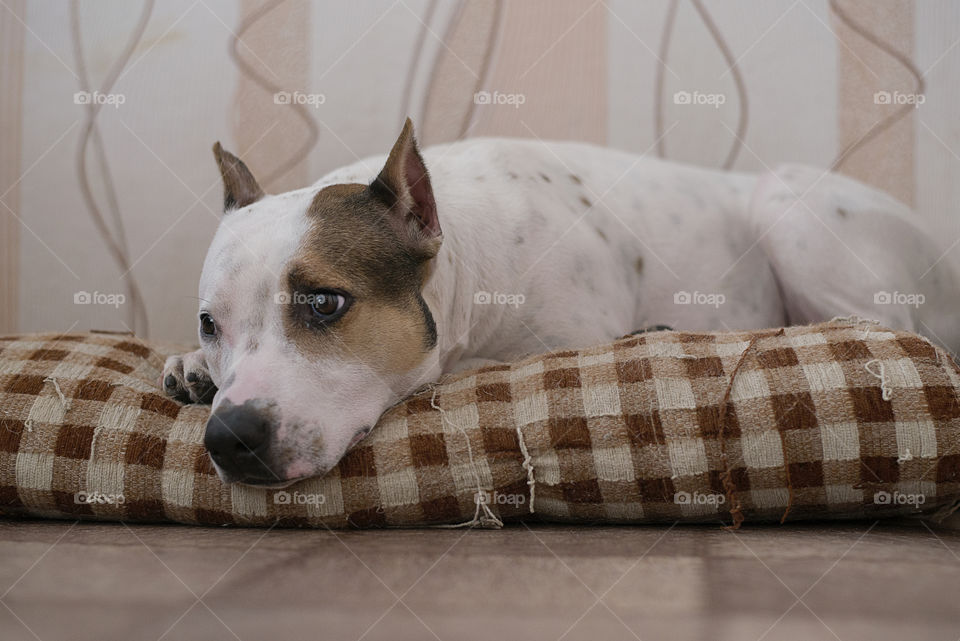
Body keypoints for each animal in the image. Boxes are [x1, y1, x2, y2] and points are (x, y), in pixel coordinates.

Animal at [163, 117, 960, 484]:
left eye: (325, 303)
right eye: (209, 323)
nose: (229, 437)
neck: (468, 264)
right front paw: (192, 369)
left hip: (788, 204)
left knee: (889, 330)